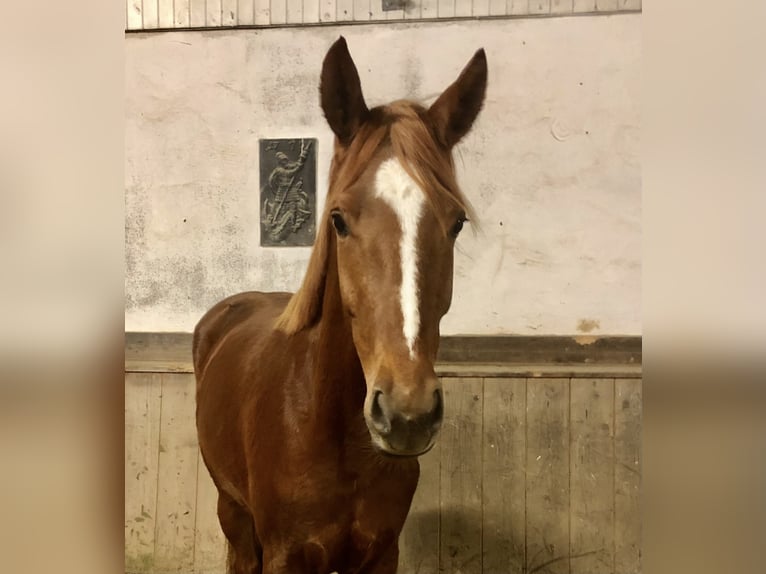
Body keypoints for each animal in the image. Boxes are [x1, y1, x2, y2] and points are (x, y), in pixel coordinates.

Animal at [195, 37, 488, 574]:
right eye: (338, 220)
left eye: (456, 222)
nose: (408, 413)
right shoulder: (284, 555)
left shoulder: (381, 553)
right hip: (235, 517)